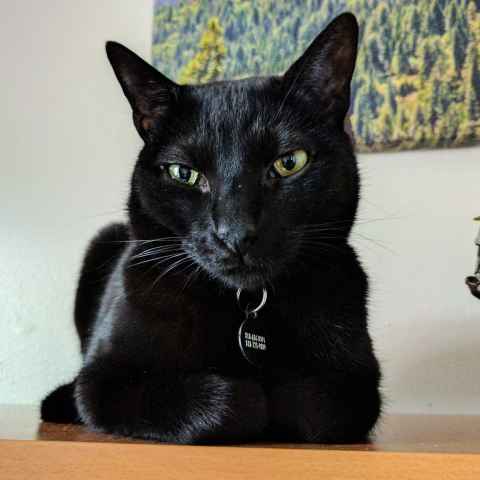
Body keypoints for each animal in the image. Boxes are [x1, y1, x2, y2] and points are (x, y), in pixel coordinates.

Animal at [41, 13, 381, 444]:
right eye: (183, 173)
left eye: (290, 162)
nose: (235, 234)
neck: (244, 305)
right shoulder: (104, 380)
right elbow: (232, 400)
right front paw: (253, 394)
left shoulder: (359, 381)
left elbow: (311, 401)